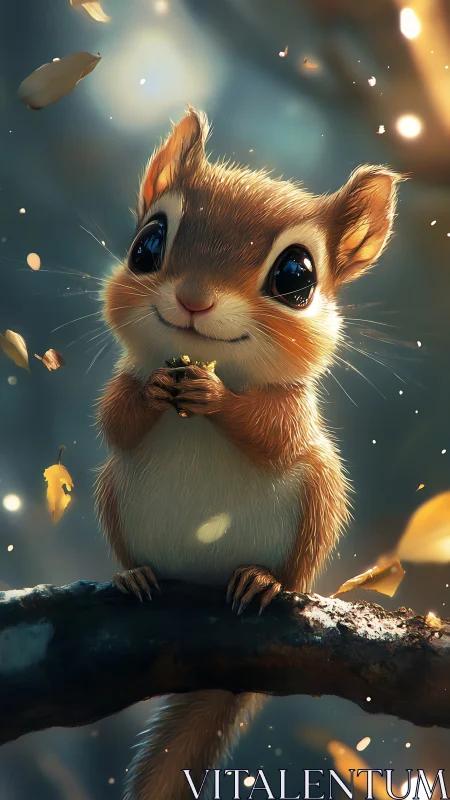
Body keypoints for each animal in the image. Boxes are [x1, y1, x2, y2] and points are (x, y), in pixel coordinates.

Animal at [95, 106, 400, 800]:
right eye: (147, 245)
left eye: (296, 278)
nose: (194, 299)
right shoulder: (120, 394)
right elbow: (116, 417)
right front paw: (156, 392)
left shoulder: (291, 413)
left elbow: (270, 433)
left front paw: (213, 395)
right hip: (112, 494)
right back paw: (136, 575)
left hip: (317, 501)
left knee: (288, 568)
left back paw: (262, 581)